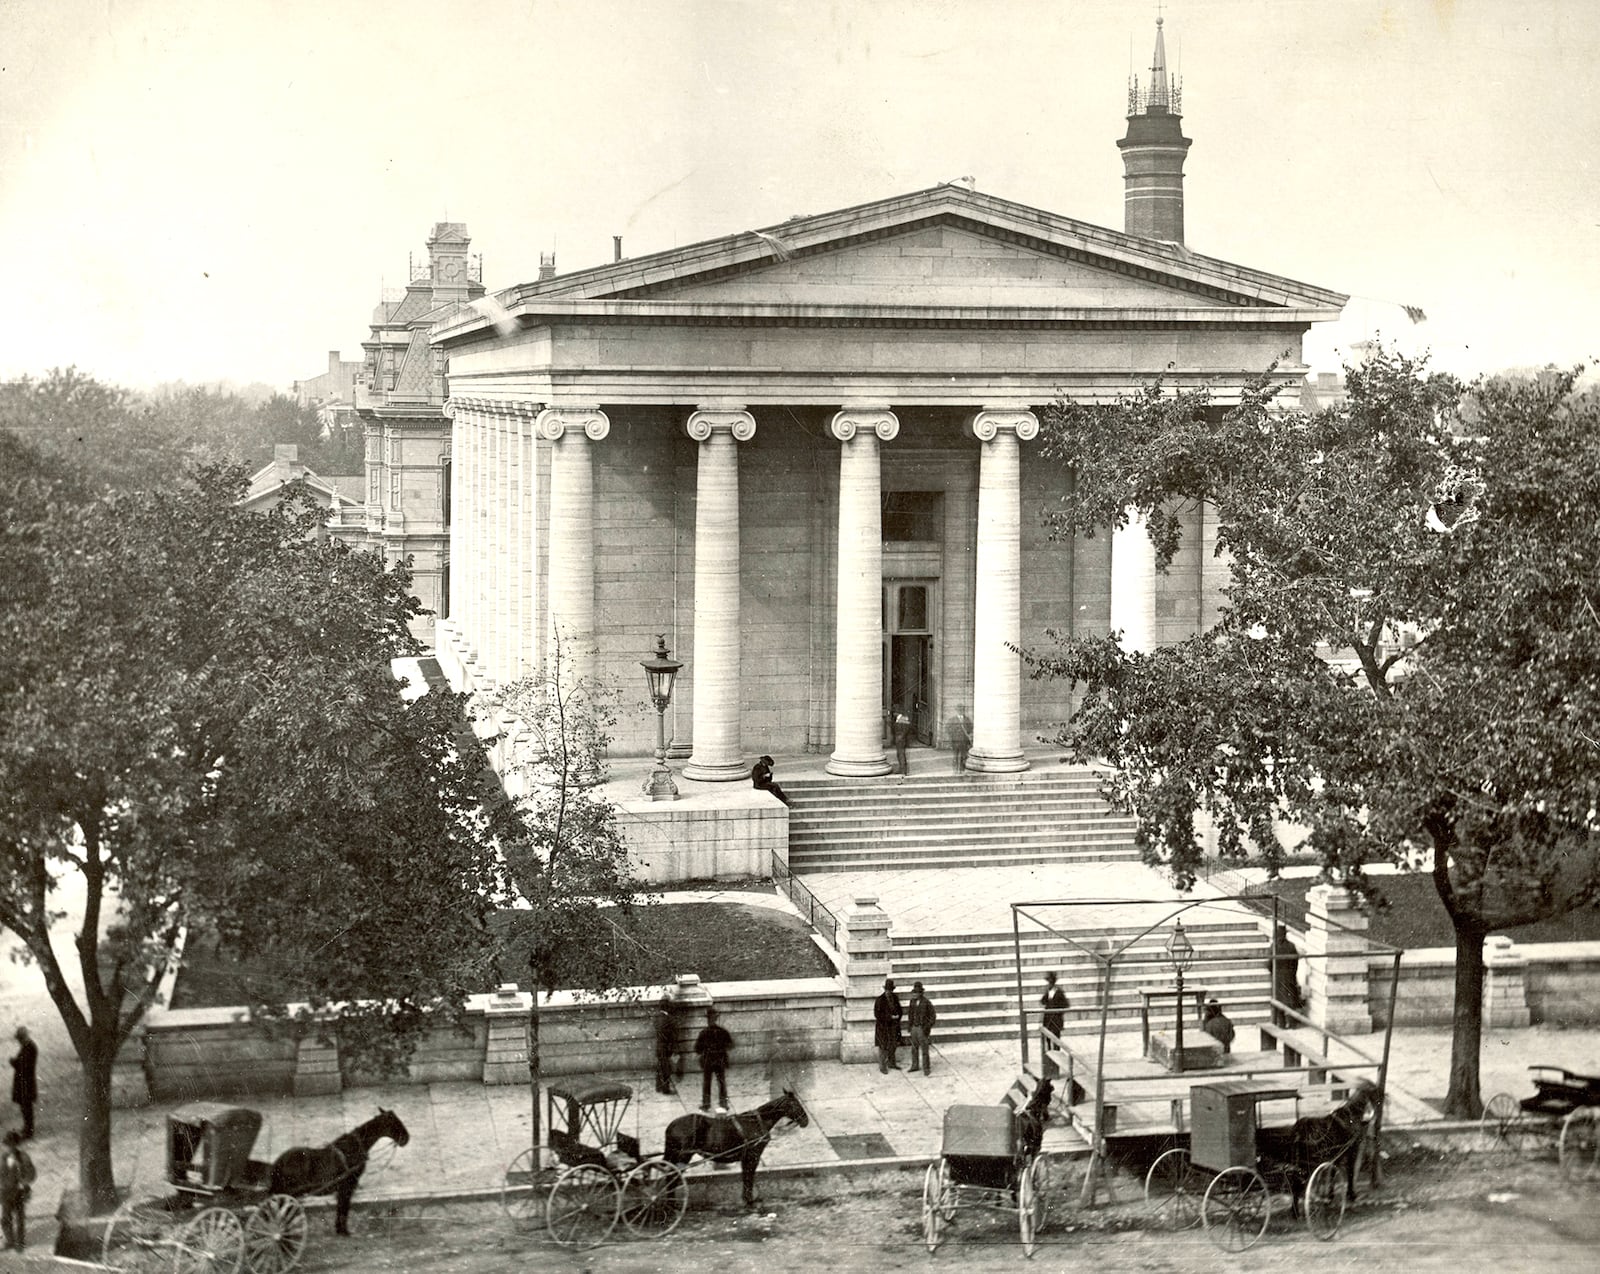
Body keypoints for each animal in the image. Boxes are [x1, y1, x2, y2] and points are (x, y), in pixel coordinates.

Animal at [268, 1107, 409, 1235]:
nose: (407, 1138)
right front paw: (343, 1231)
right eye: (395, 1122)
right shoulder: (347, 1186)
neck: (352, 1149)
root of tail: (278, 1162)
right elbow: (343, 1208)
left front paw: (339, 1229)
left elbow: (341, 1207)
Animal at [662, 1088, 812, 1209]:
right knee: (672, 1176)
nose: (806, 1121)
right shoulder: (753, 1156)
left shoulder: (746, 1158)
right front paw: (750, 1201)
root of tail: (671, 1126)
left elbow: (746, 1176)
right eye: (795, 1104)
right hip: (683, 1156)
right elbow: (749, 1177)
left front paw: (746, 1199)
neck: (757, 1122)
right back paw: (672, 1204)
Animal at [1254, 1081, 1382, 1216]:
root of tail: (1299, 1129)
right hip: (1306, 1165)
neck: (1350, 1118)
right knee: (1297, 1184)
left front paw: (1330, 1196)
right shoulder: (1352, 1151)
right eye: (1377, 1095)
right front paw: (1351, 1195)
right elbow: (1350, 1172)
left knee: (1295, 1183)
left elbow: (1332, 1173)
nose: (1376, 1118)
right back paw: (1297, 1212)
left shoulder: (1338, 1155)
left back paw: (1295, 1210)